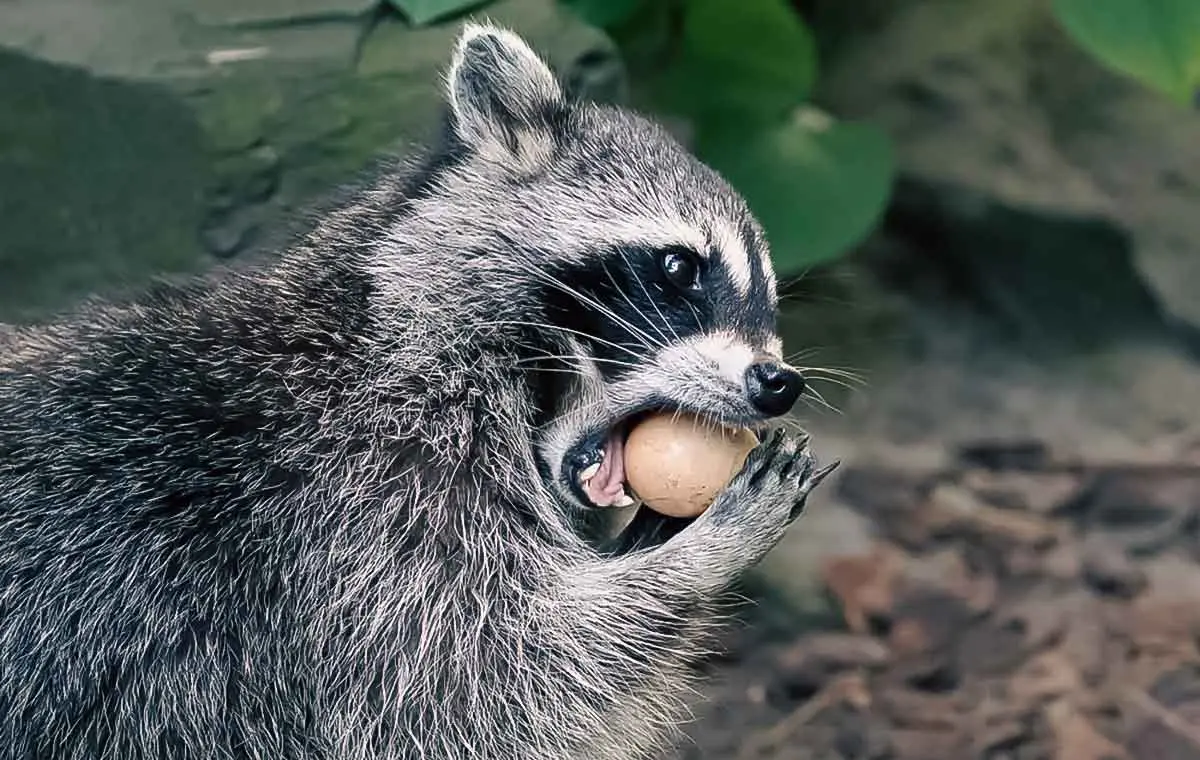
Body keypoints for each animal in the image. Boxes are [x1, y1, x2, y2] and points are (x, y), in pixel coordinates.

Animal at [0, 20, 840, 753]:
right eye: (677, 267)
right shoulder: (355, 505)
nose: (778, 383)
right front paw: (697, 556)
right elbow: (491, 680)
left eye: (770, 299)